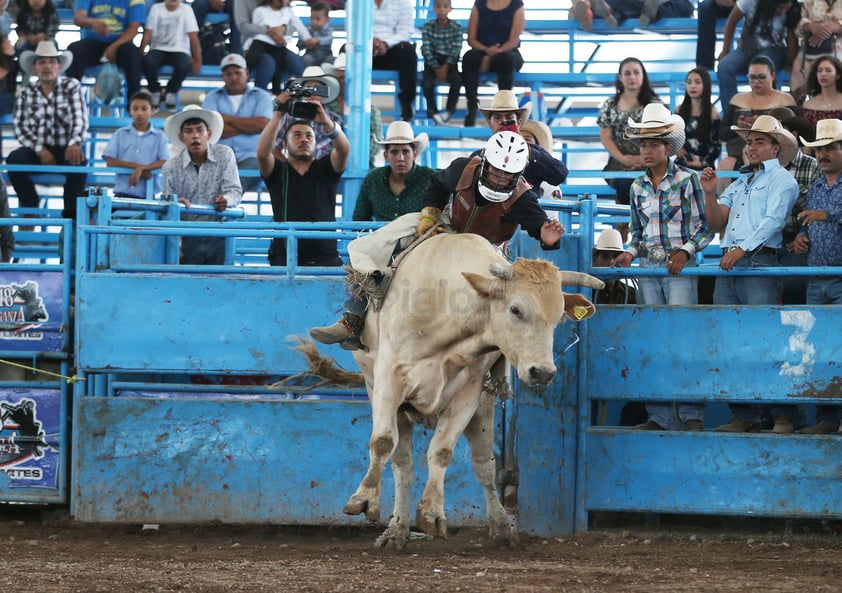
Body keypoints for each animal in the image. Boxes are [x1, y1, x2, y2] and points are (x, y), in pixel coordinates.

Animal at [342, 234, 604, 548]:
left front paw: (431, 513)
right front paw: (364, 499)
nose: (543, 372)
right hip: (389, 399)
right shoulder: (387, 380)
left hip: (484, 408)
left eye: (558, 317)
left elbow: (441, 451)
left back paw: (502, 526)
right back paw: (396, 530)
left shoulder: (468, 394)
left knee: (484, 466)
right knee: (402, 464)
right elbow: (382, 442)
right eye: (516, 309)